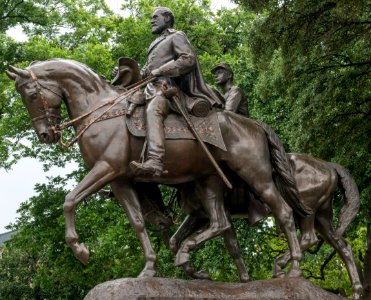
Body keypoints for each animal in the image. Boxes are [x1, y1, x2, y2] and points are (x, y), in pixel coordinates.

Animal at [6, 58, 308, 278]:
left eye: (31, 94)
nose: (45, 135)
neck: (100, 110)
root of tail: (255, 124)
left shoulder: (106, 168)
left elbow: (70, 200)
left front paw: (80, 250)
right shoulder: (120, 180)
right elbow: (138, 222)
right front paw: (150, 267)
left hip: (257, 177)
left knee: (283, 212)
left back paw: (293, 268)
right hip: (209, 180)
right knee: (220, 223)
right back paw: (187, 258)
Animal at [163, 154, 364, 298]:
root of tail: (329, 165)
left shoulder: (219, 213)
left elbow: (229, 243)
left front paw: (244, 279)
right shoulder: (200, 215)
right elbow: (175, 240)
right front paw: (197, 271)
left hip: (307, 212)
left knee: (309, 238)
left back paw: (282, 268)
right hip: (322, 218)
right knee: (343, 246)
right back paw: (356, 290)